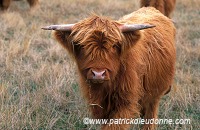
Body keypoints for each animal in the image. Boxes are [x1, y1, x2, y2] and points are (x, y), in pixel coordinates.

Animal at [41, 7, 175, 130]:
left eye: (114, 45)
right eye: (81, 46)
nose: (98, 73)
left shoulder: (126, 103)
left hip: (155, 92)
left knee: (150, 113)